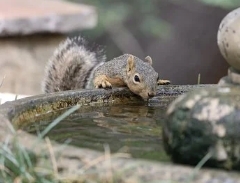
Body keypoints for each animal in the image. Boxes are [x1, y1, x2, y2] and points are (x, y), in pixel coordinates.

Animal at [43, 36, 171, 100]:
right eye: (136, 78)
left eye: (156, 76)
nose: (151, 94)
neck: (123, 71)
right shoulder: (111, 70)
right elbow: (99, 73)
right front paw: (102, 81)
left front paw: (162, 81)